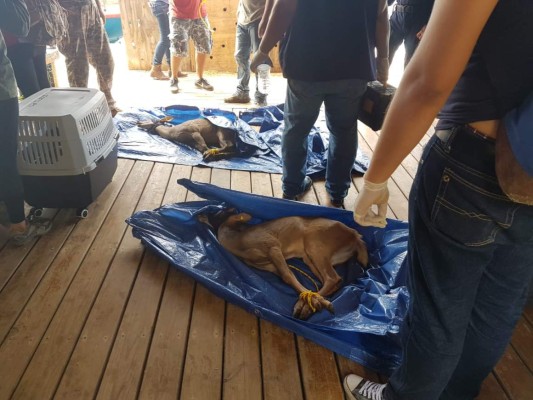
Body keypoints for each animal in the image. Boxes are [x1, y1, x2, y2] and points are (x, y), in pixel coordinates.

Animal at [202, 209, 368, 318]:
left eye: (222, 212)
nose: (201, 214)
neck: (239, 242)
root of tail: (355, 235)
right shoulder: (269, 265)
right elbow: (288, 277)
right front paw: (315, 301)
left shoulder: (272, 246)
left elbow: (287, 276)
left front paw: (319, 303)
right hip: (311, 257)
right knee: (332, 281)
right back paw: (308, 305)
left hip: (315, 243)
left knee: (332, 278)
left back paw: (307, 306)